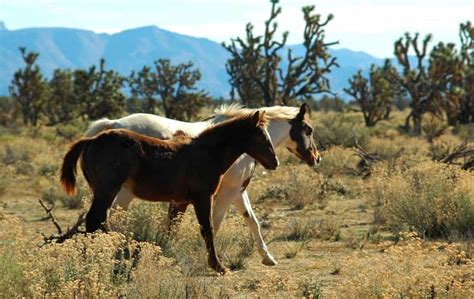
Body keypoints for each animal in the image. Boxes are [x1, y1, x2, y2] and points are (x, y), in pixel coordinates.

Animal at [61, 111, 280, 276]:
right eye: (261, 136)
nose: (275, 162)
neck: (206, 153)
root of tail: (91, 140)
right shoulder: (203, 198)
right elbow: (207, 228)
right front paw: (218, 266)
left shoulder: (181, 201)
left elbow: (172, 228)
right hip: (107, 191)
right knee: (96, 220)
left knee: (98, 221)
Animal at [85, 104, 322, 266]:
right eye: (309, 130)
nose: (317, 158)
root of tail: (115, 124)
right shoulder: (226, 193)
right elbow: (213, 224)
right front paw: (205, 257)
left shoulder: (237, 191)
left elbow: (252, 221)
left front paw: (268, 257)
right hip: (123, 193)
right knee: (109, 217)